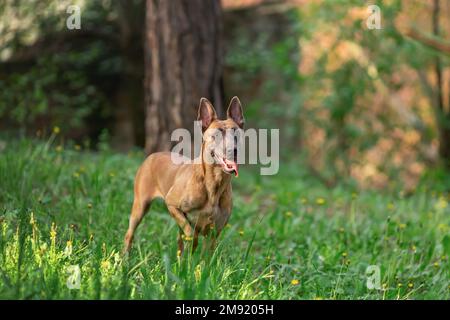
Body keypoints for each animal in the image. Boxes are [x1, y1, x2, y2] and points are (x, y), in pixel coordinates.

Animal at [123, 96, 244, 254]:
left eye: (236, 134)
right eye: (216, 135)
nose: (233, 150)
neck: (213, 184)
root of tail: (152, 155)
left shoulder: (214, 233)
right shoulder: (172, 204)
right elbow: (190, 232)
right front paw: (191, 243)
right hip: (140, 206)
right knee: (129, 234)